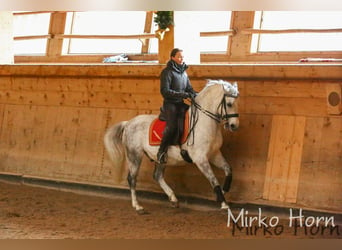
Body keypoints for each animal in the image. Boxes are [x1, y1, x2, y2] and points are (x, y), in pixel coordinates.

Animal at [103, 79, 239, 213]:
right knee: (132, 178)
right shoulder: (200, 159)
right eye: (229, 104)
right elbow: (213, 180)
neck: (204, 122)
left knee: (157, 176)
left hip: (161, 158)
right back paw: (137, 206)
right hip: (134, 155)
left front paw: (224, 191)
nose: (234, 126)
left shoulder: (214, 154)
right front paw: (224, 204)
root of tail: (128, 123)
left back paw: (173, 199)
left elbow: (228, 169)